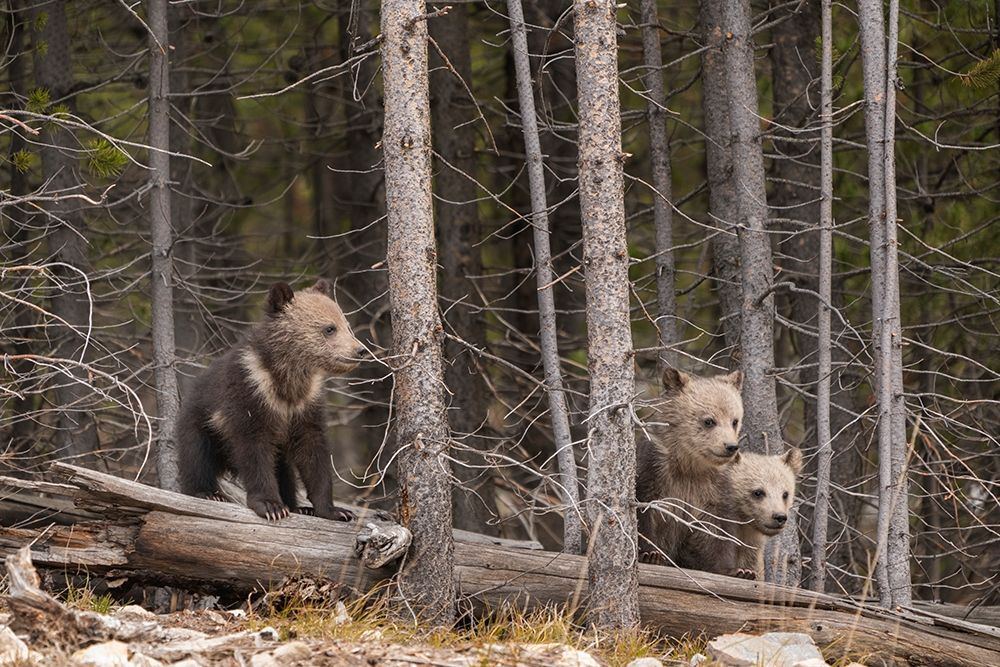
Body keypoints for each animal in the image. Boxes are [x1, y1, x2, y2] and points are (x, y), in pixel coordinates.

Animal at [175, 279, 366, 522]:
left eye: (346, 325)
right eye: (329, 328)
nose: (360, 350)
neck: (287, 381)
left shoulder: (306, 405)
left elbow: (313, 453)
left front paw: (335, 510)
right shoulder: (250, 394)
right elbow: (255, 451)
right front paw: (271, 506)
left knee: (284, 471)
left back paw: (297, 506)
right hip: (201, 422)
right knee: (196, 456)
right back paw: (208, 493)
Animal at [635, 367, 743, 564]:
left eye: (734, 420)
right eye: (709, 421)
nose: (730, 446)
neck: (690, 466)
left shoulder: (714, 487)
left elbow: (718, 528)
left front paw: (735, 568)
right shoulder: (655, 470)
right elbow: (644, 509)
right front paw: (650, 553)